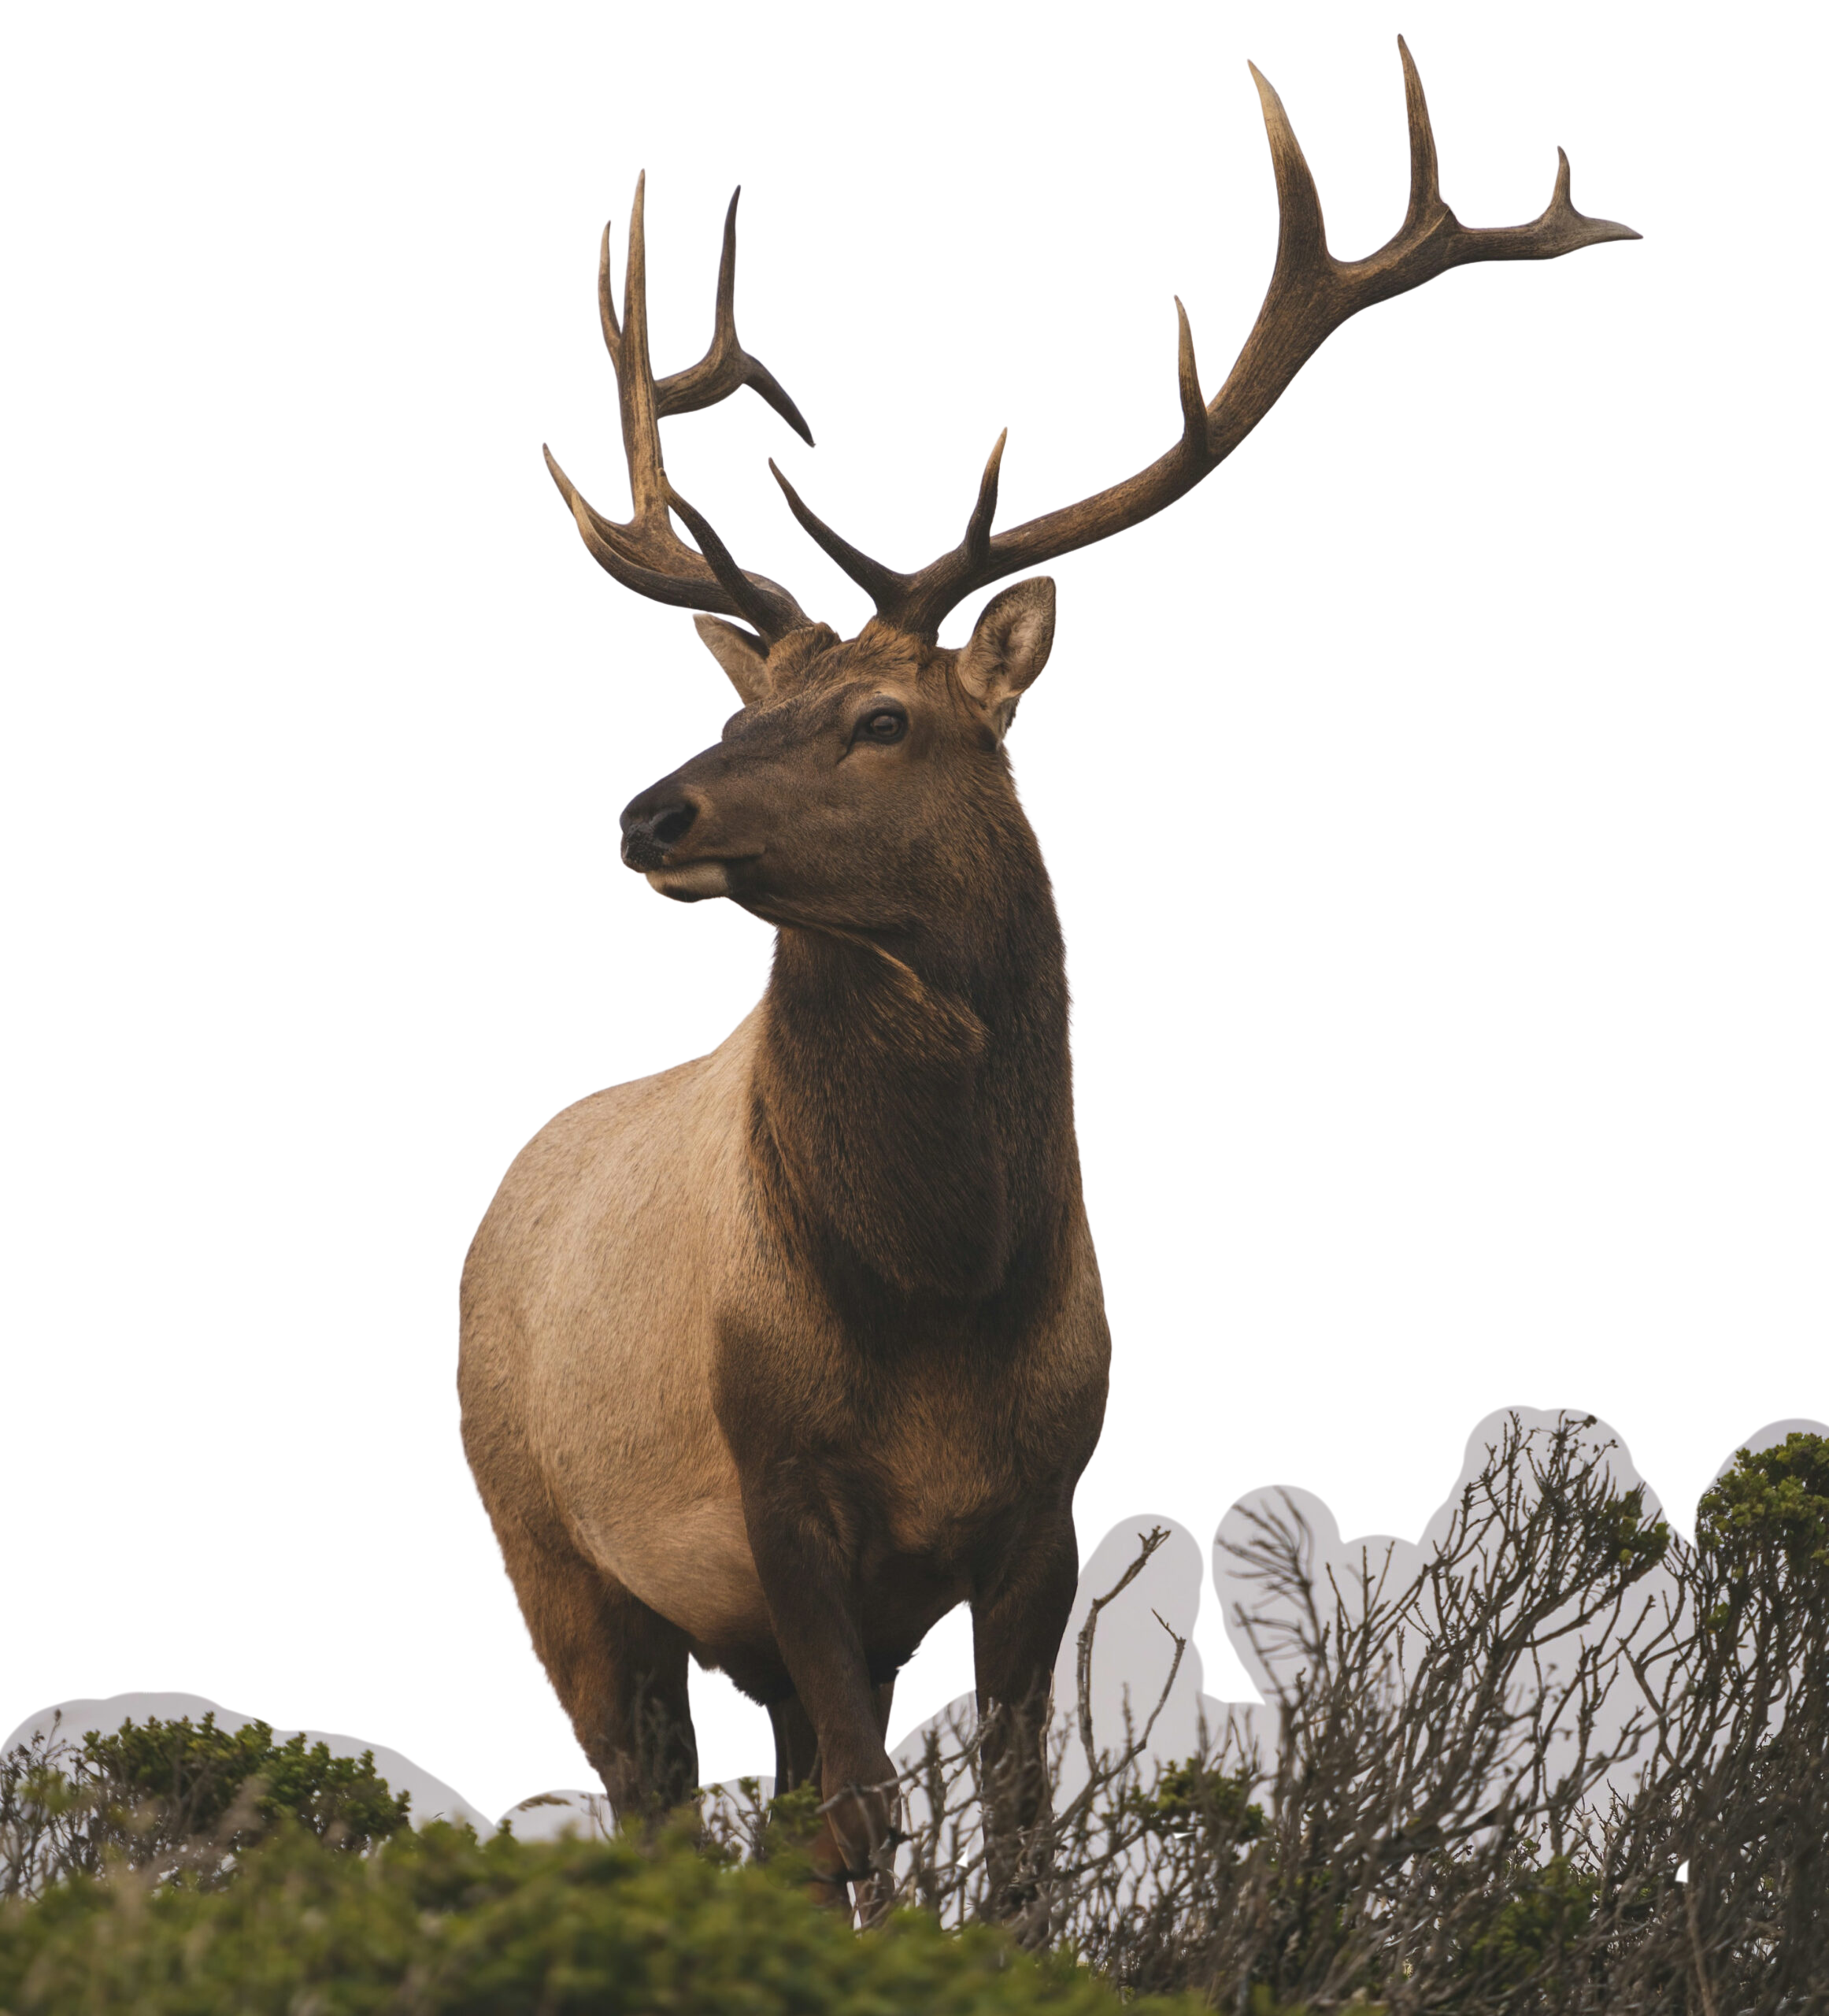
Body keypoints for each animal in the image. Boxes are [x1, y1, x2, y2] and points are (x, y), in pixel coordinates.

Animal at [457, 36, 1637, 1912]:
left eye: (883, 717)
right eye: (738, 707)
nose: (650, 810)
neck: (941, 1288)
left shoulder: (1046, 1508)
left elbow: (1013, 1825)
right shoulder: (777, 1491)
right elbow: (873, 1821)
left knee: (772, 1810)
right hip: (551, 1550)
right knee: (664, 1806)